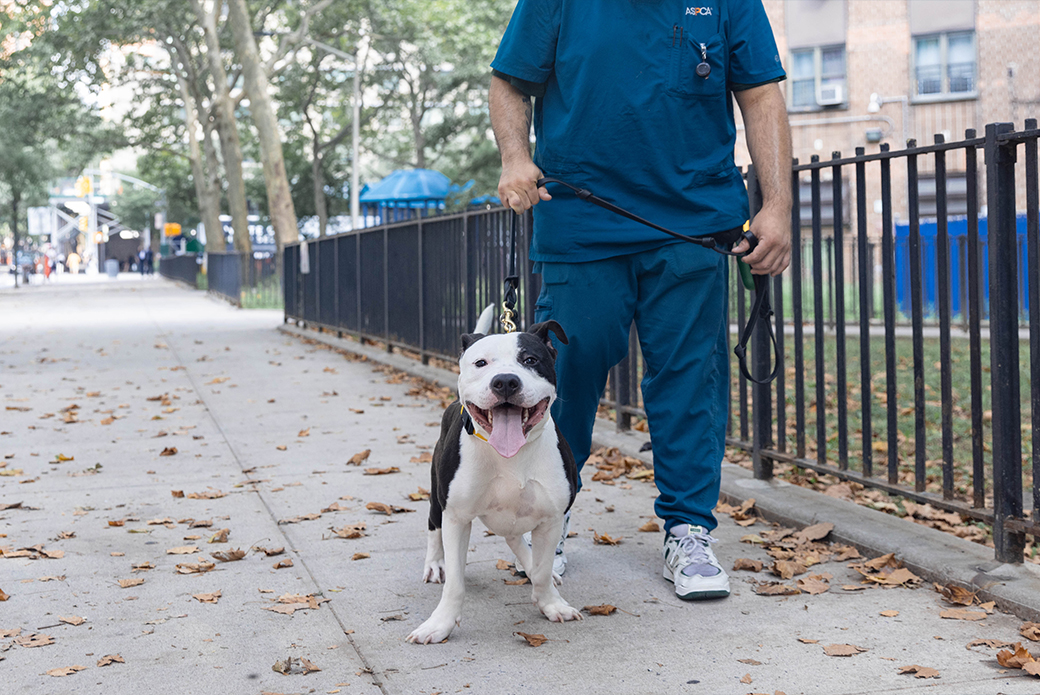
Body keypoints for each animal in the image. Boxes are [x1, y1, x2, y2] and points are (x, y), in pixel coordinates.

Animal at [405, 305, 582, 645]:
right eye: (481, 363)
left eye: (530, 360)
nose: (506, 382)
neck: (510, 456)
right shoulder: (457, 517)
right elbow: (455, 583)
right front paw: (440, 624)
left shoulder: (551, 517)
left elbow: (542, 569)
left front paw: (550, 603)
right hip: (437, 496)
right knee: (433, 527)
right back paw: (434, 564)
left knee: (516, 538)